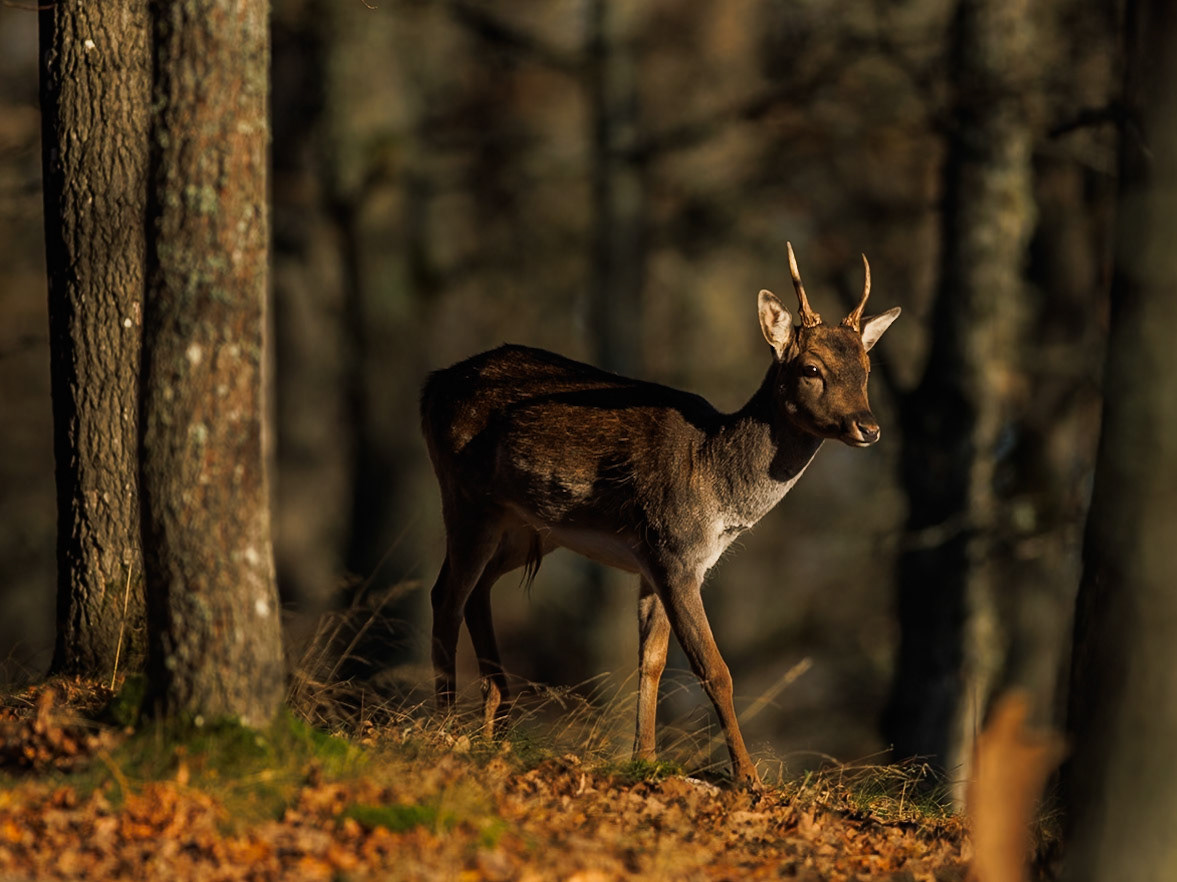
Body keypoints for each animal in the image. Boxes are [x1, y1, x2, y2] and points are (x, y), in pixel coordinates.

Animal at [420, 243, 900, 788]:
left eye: (865, 368)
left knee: (475, 589)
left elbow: (651, 659)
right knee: (446, 594)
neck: (716, 479)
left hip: (524, 526)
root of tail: (430, 386)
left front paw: (645, 759)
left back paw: (494, 724)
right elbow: (714, 669)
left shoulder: (657, 560)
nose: (868, 427)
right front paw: (748, 778)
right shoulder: (675, 551)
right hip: (465, 494)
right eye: (812, 369)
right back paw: (445, 723)